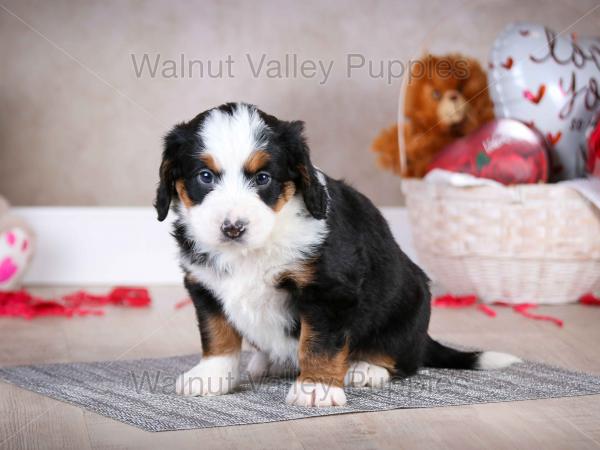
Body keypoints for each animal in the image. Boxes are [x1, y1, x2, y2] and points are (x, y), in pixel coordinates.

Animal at [155, 103, 520, 408]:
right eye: (204, 177)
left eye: (263, 178)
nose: (233, 228)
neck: (253, 249)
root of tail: (424, 338)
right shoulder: (204, 285)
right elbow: (216, 334)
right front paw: (210, 376)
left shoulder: (328, 289)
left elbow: (319, 343)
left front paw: (316, 387)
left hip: (411, 302)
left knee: (403, 357)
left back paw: (367, 367)